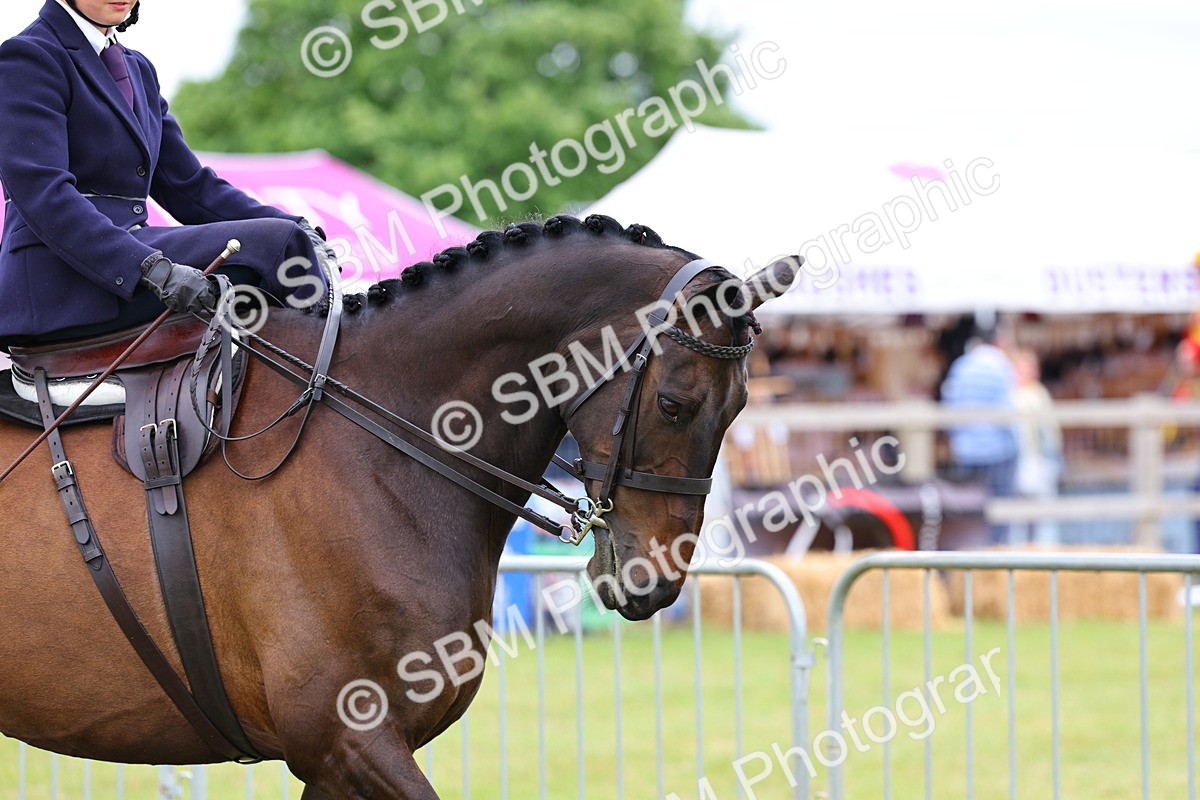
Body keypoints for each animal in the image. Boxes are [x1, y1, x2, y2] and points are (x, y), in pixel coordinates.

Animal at [0, 213, 799, 798]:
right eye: (673, 404)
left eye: (741, 408)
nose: (653, 584)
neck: (379, 444)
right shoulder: (348, 739)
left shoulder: (338, 761)